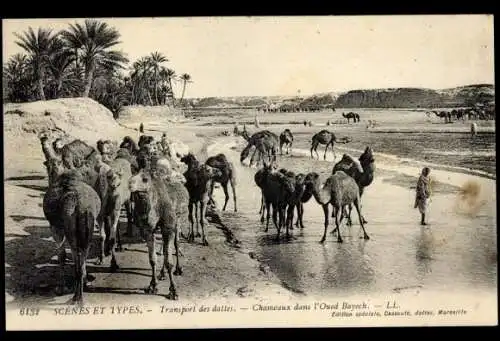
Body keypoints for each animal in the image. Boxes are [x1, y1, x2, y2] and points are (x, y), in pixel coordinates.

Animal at [43, 169, 101, 304]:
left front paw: (60, 288)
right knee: (83, 253)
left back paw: (77, 298)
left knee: (77, 253)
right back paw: (81, 293)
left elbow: (62, 255)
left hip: (70, 228)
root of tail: (79, 205)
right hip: (88, 225)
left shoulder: (55, 227)